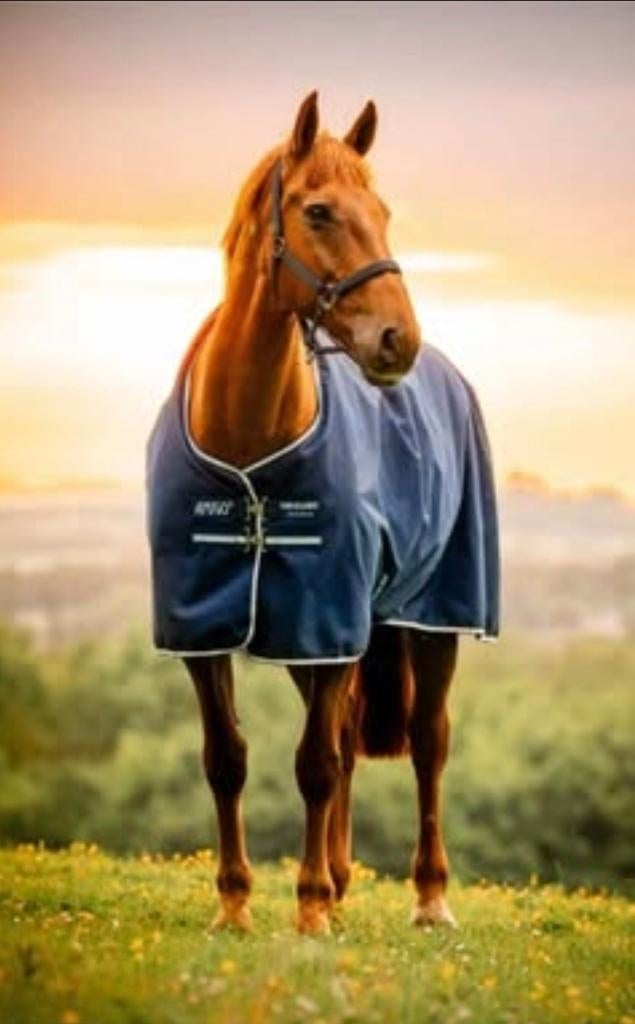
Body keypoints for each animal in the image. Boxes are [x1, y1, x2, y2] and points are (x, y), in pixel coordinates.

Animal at [146, 91, 499, 935]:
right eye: (318, 211)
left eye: (384, 211)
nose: (397, 340)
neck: (249, 442)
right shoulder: (210, 627)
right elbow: (227, 759)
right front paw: (236, 906)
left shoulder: (328, 617)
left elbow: (314, 763)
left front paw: (305, 913)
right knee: (341, 737)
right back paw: (339, 882)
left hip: (430, 616)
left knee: (427, 741)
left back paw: (427, 897)